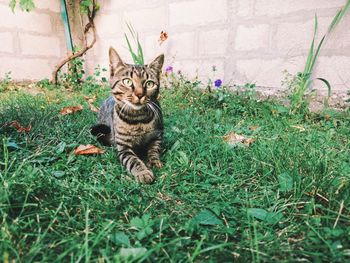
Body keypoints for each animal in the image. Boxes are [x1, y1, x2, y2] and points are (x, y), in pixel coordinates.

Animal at [91, 47, 165, 184]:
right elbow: (133, 160)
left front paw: (154, 161)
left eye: (149, 84)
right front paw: (143, 172)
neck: (139, 119)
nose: (140, 94)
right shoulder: (123, 147)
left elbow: (154, 150)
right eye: (127, 81)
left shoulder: (157, 136)